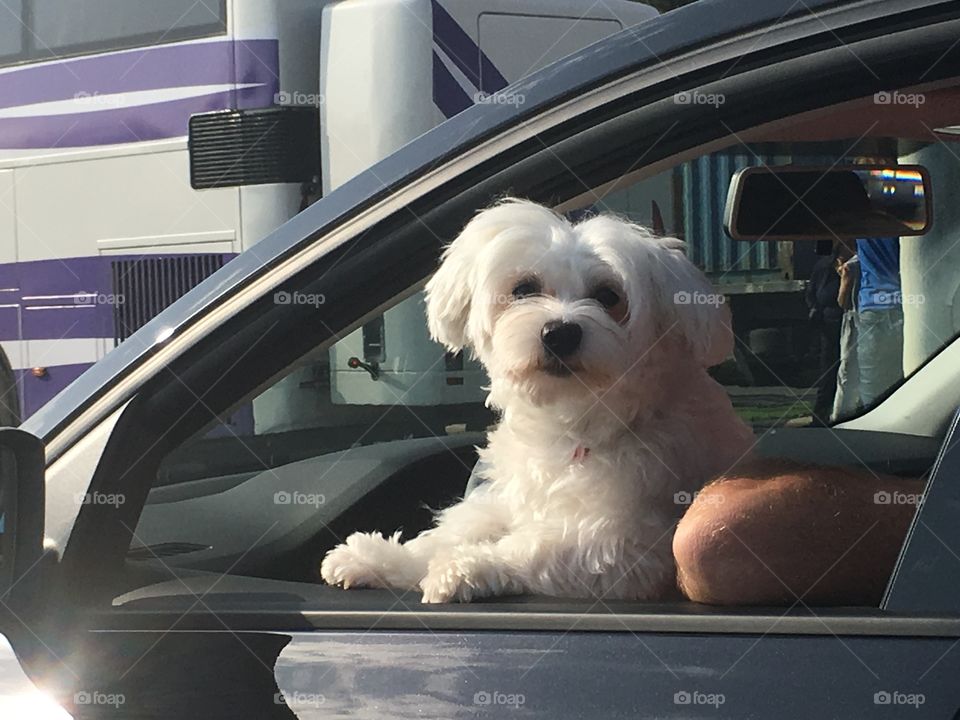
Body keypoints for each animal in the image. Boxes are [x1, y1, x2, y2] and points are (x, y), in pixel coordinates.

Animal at [318, 197, 752, 600]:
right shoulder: (507, 495)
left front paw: (464, 566)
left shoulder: (627, 545)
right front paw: (380, 558)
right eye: (524, 289)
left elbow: (535, 547)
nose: (560, 332)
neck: (574, 422)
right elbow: (457, 526)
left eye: (609, 296)